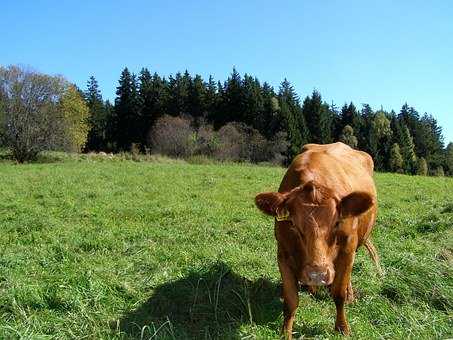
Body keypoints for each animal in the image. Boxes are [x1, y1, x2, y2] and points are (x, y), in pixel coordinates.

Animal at [256, 142, 380, 338]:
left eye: (337, 222)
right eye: (293, 224)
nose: (317, 275)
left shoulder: (347, 250)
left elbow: (339, 293)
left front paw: (342, 328)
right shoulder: (283, 253)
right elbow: (290, 300)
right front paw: (286, 332)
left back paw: (349, 294)